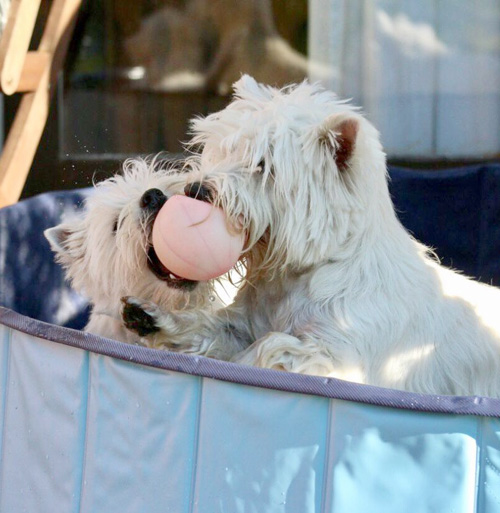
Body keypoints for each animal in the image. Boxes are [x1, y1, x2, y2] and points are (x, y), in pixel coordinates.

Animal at [121, 76, 500, 396]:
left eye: (263, 166)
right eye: (225, 150)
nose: (196, 190)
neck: (301, 273)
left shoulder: (344, 356)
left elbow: (273, 346)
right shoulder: (246, 320)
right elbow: (215, 326)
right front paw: (151, 317)